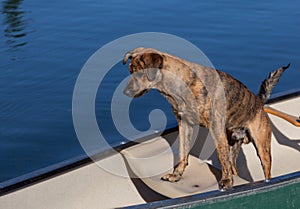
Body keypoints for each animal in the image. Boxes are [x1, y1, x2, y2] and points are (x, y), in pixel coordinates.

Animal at [121, 47, 288, 189]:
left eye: (139, 74)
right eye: (129, 71)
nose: (125, 92)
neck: (178, 86)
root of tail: (258, 102)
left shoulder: (215, 126)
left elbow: (221, 156)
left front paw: (226, 181)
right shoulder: (184, 124)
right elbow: (182, 152)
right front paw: (176, 175)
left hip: (262, 147)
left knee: (266, 171)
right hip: (233, 144)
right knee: (232, 164)